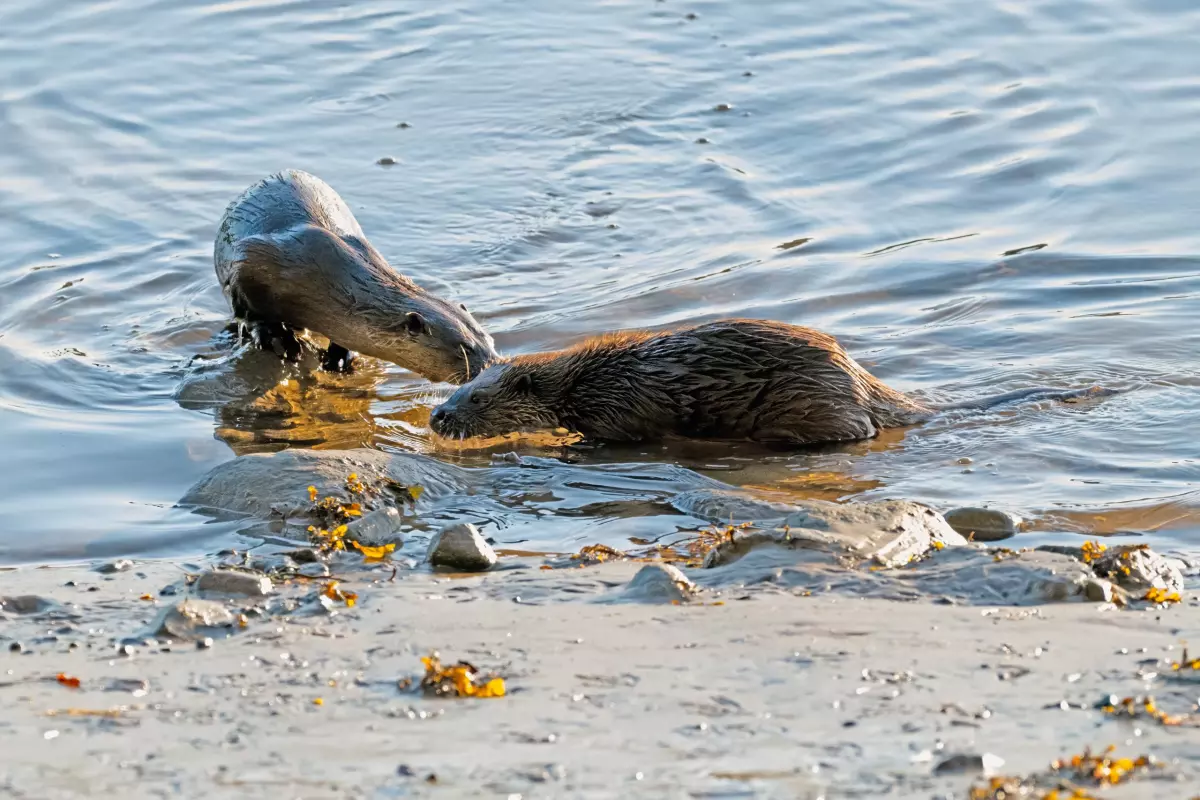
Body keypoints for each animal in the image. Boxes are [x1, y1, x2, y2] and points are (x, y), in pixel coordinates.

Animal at [215, 170, 497, 382]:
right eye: (465, 349)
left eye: (489, 340)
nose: (495, 365)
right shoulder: (249, 260)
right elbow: (247, 310)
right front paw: (278, 340)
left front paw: (340, 357)